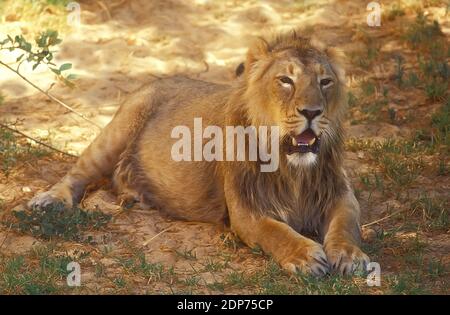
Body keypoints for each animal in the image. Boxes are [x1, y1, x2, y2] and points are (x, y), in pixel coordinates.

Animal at [28, 31, 370, 276]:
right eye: (285, 80)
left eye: (325, 82)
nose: (312, 112)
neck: (293, 168)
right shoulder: (246, 212)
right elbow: (276, 232)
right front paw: (306, 256)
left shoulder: (339, 194)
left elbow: (347, 223)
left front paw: (351, 256)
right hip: (116, 132)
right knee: (77, 173)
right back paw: (48, 200)